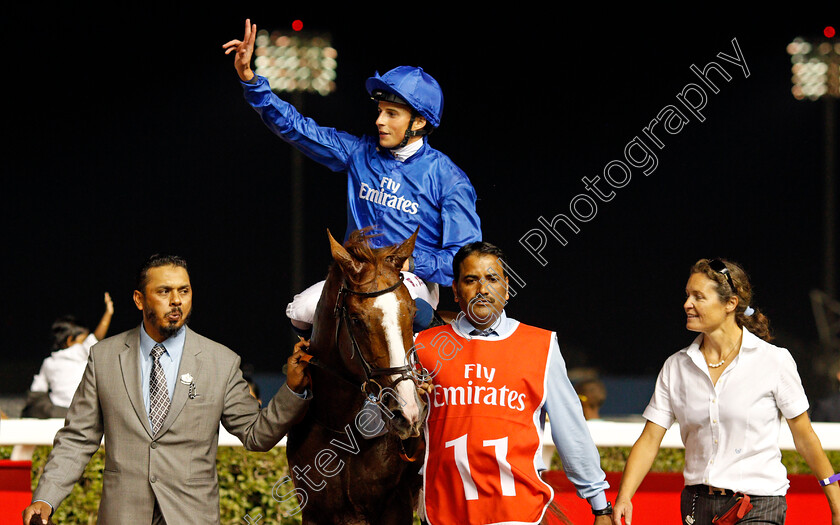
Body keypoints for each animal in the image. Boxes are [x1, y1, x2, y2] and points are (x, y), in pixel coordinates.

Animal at [286, 229, 426, 524]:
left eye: (413, 312)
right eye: (356, 319)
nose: (408, 411)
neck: (338, 423)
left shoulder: (394, 507)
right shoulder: (314, 512)